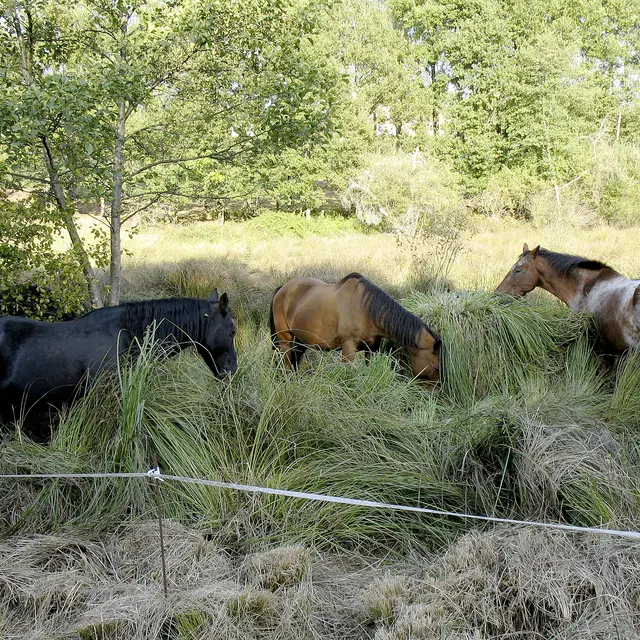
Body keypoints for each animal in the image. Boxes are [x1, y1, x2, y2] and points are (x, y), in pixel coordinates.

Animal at [269, 272, 442, 380]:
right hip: (285, 339)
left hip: (300, 340)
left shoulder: (371, 350)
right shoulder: (348, 349)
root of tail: (282, 289)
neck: (366, 310)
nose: (437, 396)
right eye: (436, 368)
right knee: (286, 362)